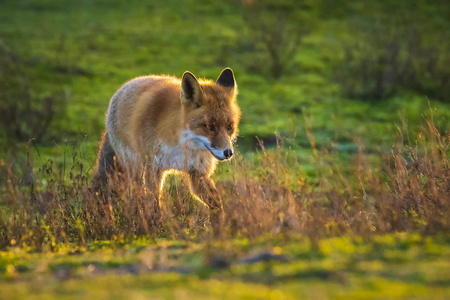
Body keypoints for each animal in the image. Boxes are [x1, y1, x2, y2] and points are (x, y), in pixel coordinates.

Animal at [90, 67, 239, 223]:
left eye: (229, 127)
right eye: (210, 127)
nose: (228, 152)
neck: (182, 144)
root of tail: (125, 85)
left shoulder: (198, 172)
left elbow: (217, 203)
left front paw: (219, 225)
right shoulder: (153, 169)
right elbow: (154, 204)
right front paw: (156, 225)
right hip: (135, 168)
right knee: (134, 195)